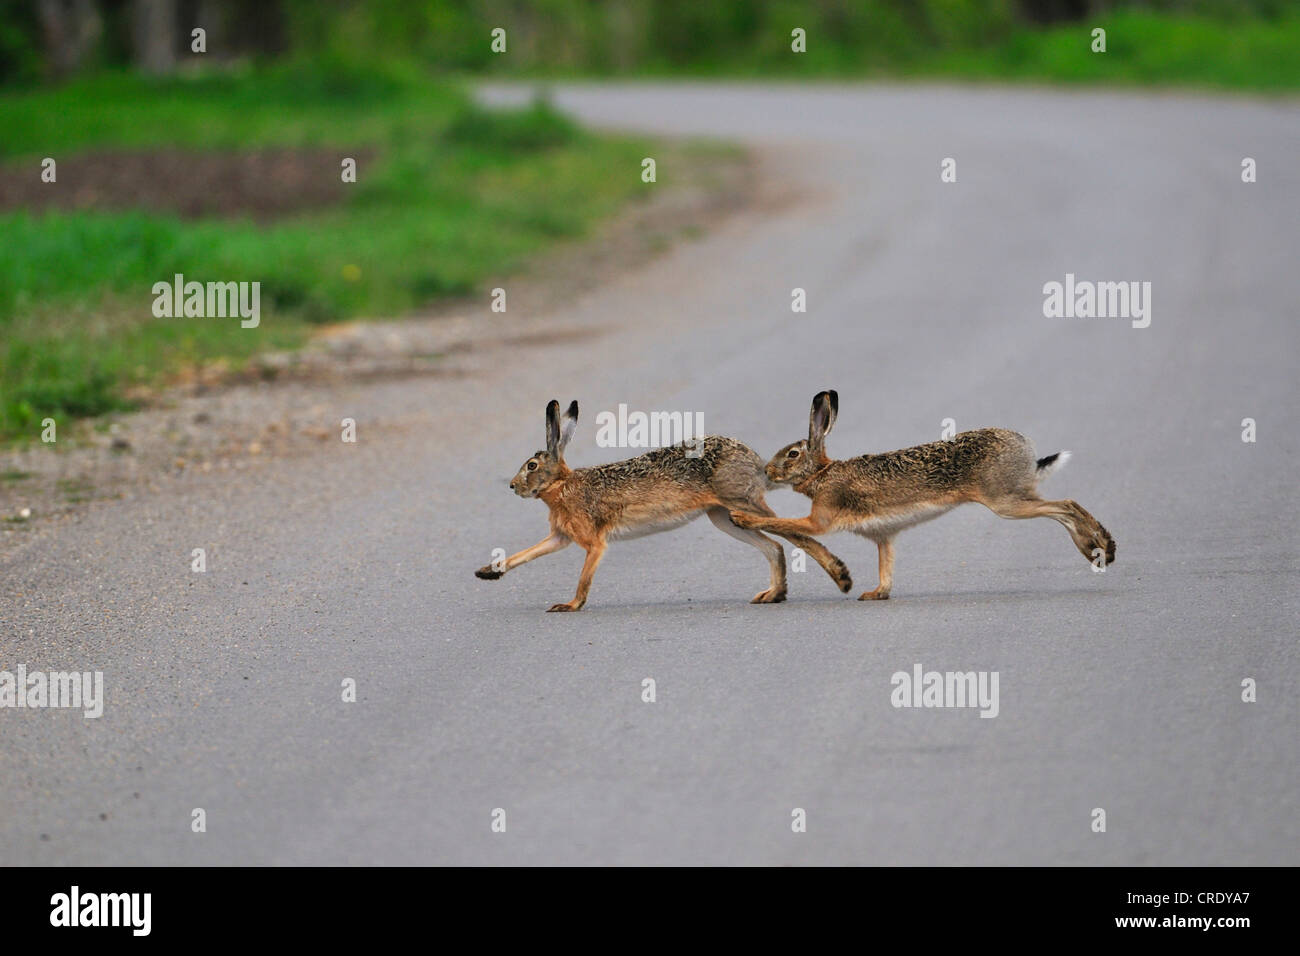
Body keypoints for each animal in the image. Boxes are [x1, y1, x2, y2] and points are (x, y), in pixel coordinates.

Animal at [475, 399, 853, 611]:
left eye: (531, 466)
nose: (512, 486)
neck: (561, 486)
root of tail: (757, 464)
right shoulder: (560, 537)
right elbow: (526, 553)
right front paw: (487, 572)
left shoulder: (593, 541)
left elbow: (585, 576)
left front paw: (570, 605)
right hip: (724, 516)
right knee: (774, 545)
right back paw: (773, 594)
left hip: (740, 501)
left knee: (790, 530)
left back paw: (841, 577)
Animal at [731, 390, 1115, 601]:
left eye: (793, 454)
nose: (768, 471)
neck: (821, 474)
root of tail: (1025, 448)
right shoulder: (883, 535)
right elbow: (885, 565)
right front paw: (876, 594)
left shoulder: (819, 519)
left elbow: (783, 522)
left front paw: (743, 517)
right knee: (1062, 507)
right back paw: (1097, 548)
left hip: (1005, 500)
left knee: (1064, 505)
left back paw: (1101, 547)